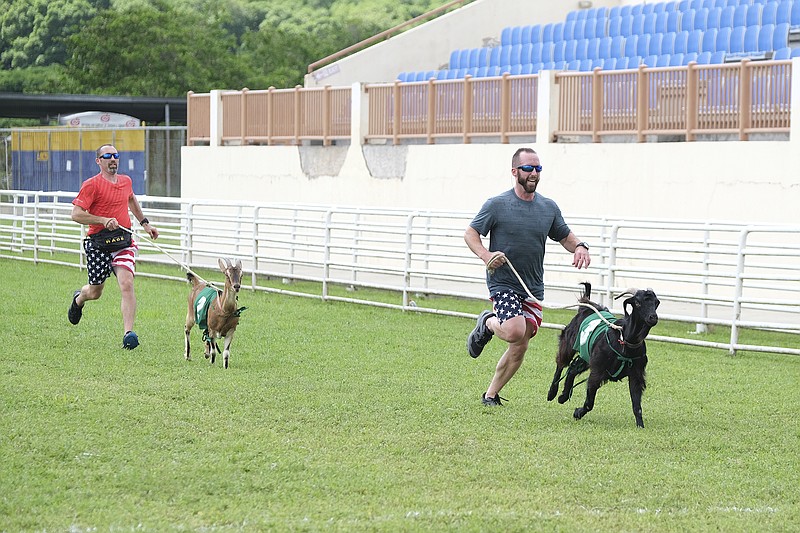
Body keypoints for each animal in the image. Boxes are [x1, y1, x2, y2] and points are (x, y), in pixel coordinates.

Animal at [548, 282, 660, 428]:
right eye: (638, 302)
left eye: (656, 303)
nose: (653, 317)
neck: (624, 340)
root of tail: (586, 305)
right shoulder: (597, 371)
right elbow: (589, 403)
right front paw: (577, 413)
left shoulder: (636, 374)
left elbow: (637, 406)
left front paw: (640, 426)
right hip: (569, 342)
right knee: (561, 364)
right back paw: (552, 393)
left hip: (586, 355)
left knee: (572, 368)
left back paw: (563, 397)